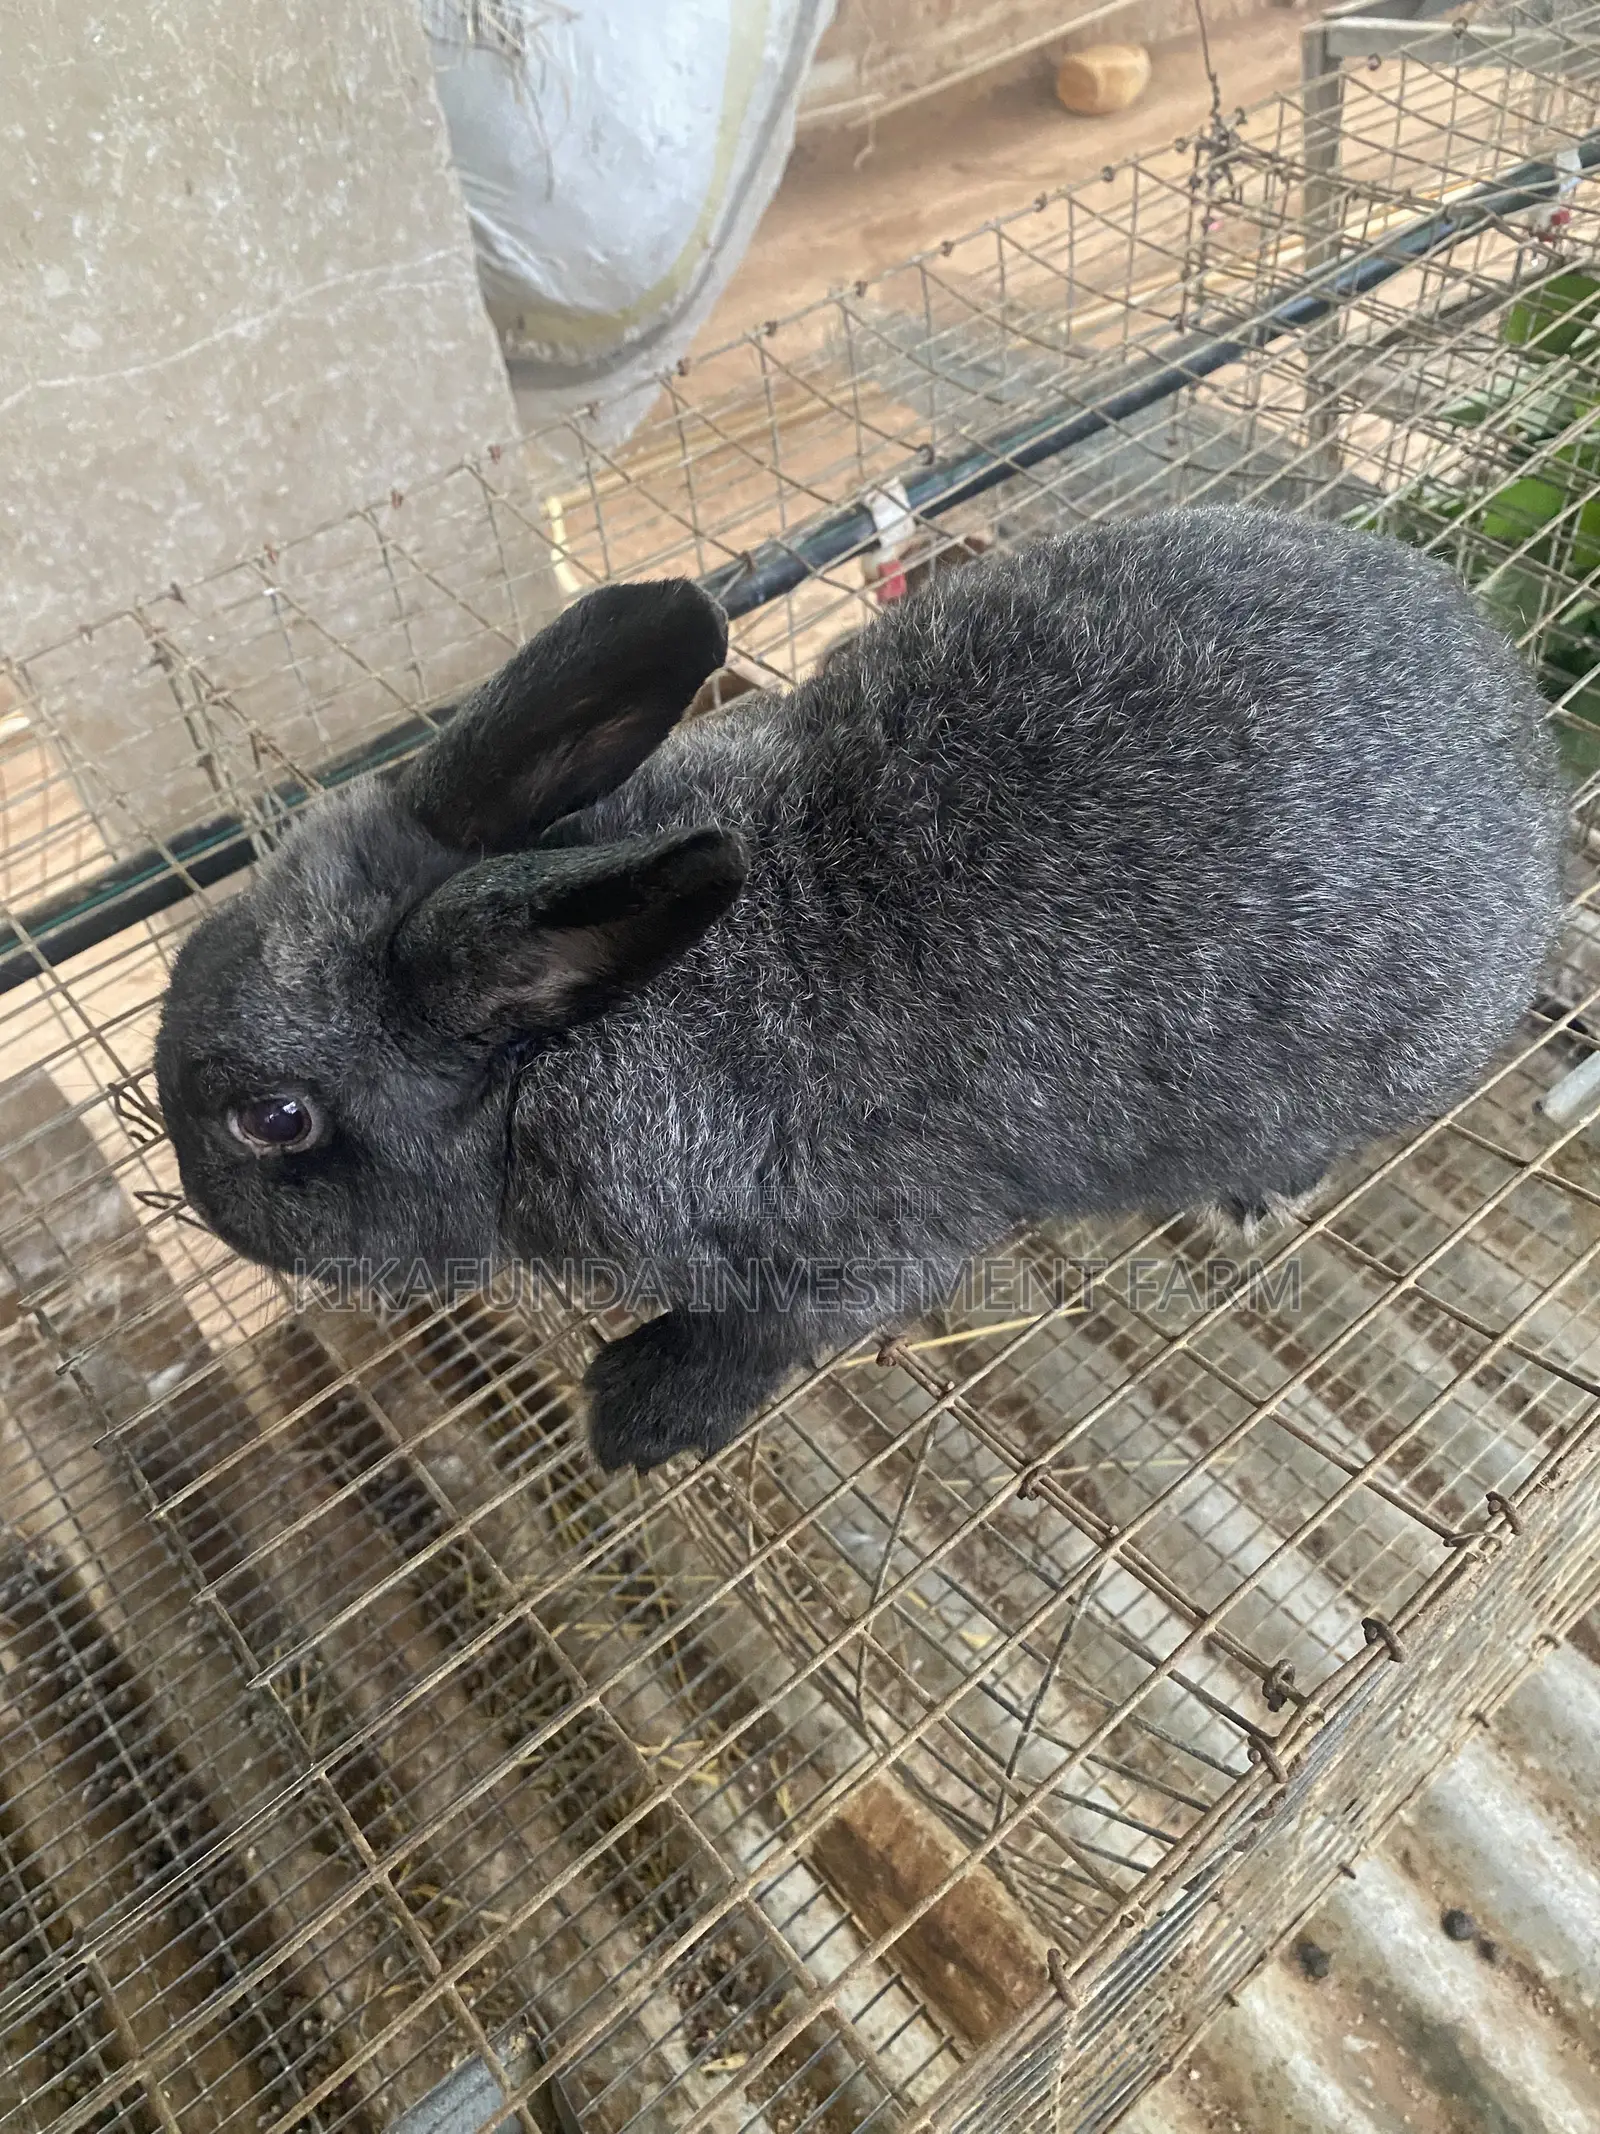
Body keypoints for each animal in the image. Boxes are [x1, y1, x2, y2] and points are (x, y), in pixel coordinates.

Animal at [154, 507, 1567, 1471]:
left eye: (273, 1121)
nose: (201, 1208)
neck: (560, 1050)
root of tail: (1521, 740)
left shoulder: (865, 1238)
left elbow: (779, 1325)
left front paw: (635, 1417)